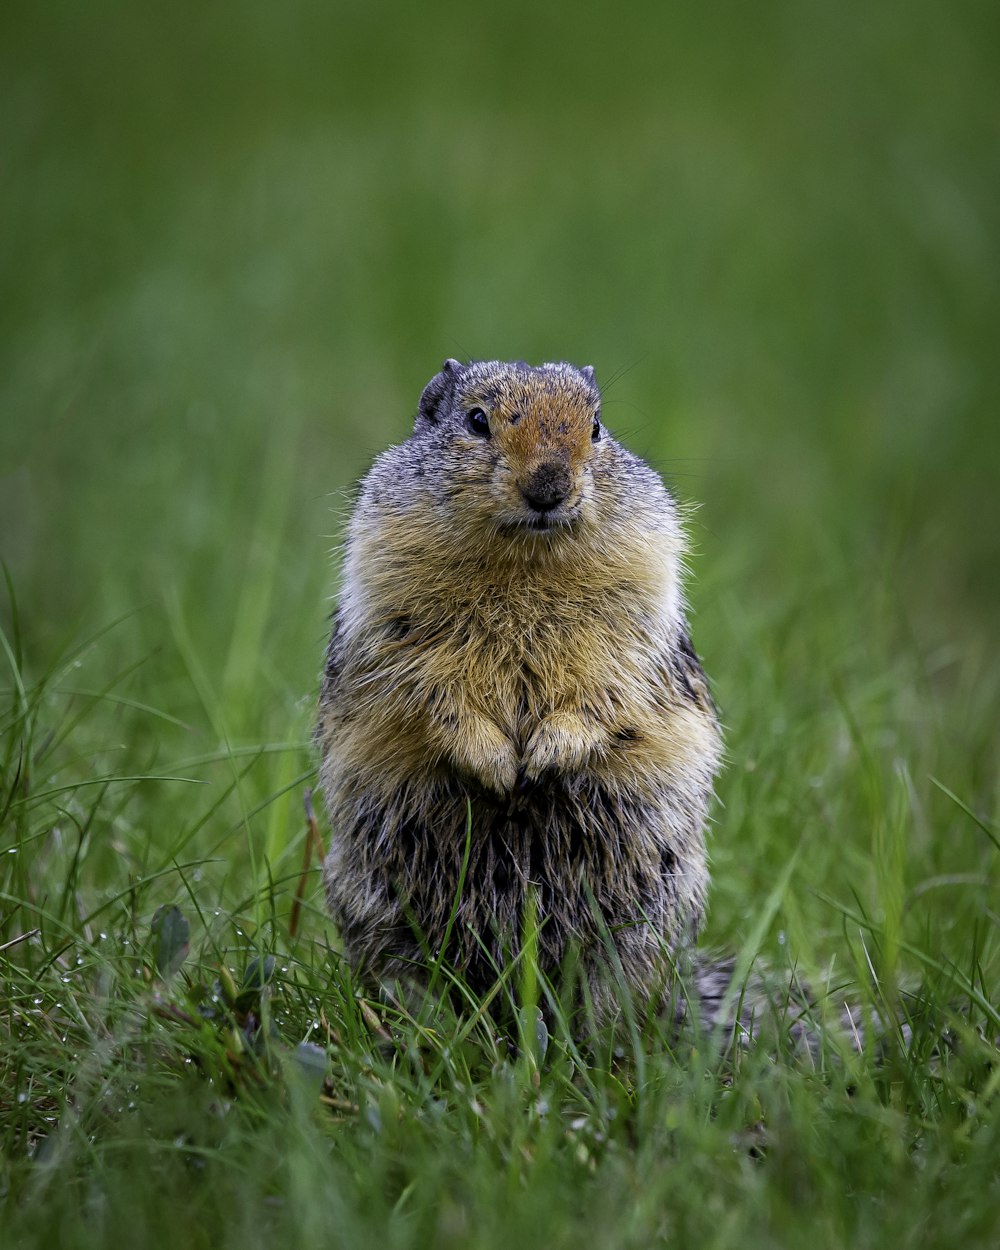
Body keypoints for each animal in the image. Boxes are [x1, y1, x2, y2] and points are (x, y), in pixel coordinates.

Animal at [318, 360, 725, 1025]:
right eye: (476, 420)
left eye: (596, 427)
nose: (549, 485)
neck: (525, 564)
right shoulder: (392, 613)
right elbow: (429, 687)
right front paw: (496, 765)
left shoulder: (633, 617)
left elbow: (609, 685)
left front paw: (545, 757)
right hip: (385, 923)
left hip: (640, 934)